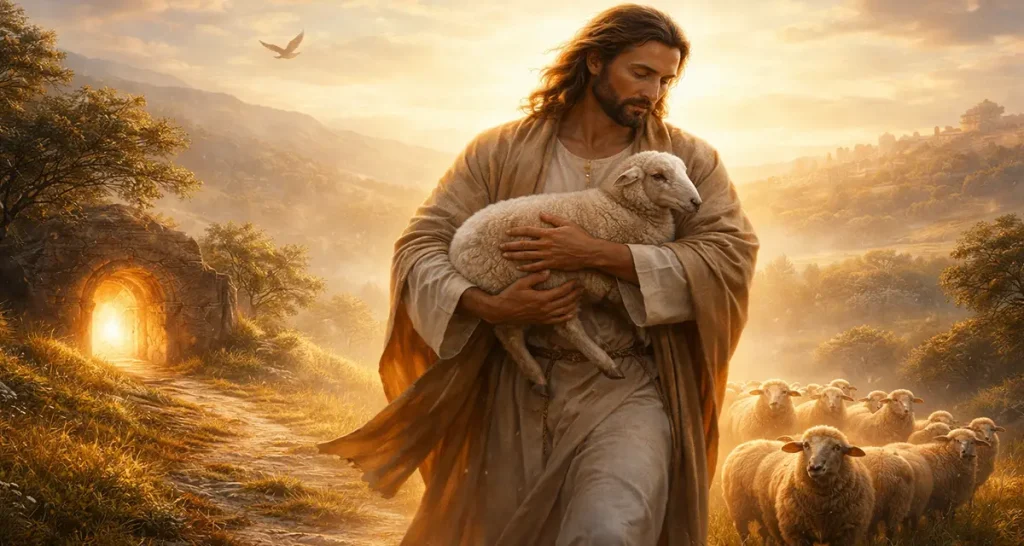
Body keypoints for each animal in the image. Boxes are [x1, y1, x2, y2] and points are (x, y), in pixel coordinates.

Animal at [448, 151, 701, 396]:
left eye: (684, 171)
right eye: (658, 176)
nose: (696, 202)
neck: (621, 206)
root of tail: (456, 249)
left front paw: (641, 336)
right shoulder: (609, 278)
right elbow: (628, 308)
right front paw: (641, 334)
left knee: (508, 333)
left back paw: (538, 378)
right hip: (541, 282)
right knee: (561, 328)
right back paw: (604, 365)